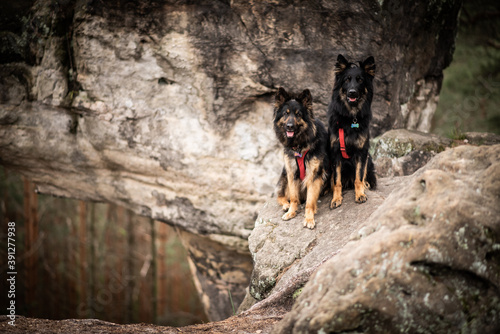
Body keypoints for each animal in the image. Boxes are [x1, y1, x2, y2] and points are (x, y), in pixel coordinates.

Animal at [272, 87, 330, 228]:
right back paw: (286, 205)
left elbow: (310, 201)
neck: (299, 145)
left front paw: (309, 218)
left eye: (298, 114)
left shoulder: (314, 175)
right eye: (286, 113)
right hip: (284, 173)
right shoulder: (292, 172)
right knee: (280, 195)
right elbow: (293, 197)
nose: (290, 126)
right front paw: (292, 212)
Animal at [326, 54, 376, 209]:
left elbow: (359, 177)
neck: (351, 118)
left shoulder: (362, 152)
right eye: (347, 80)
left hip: (369, 158)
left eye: (360, 80)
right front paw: (336, 198)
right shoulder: (335, 153)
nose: (352, 92)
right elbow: (337, 181)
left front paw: (360, 194)